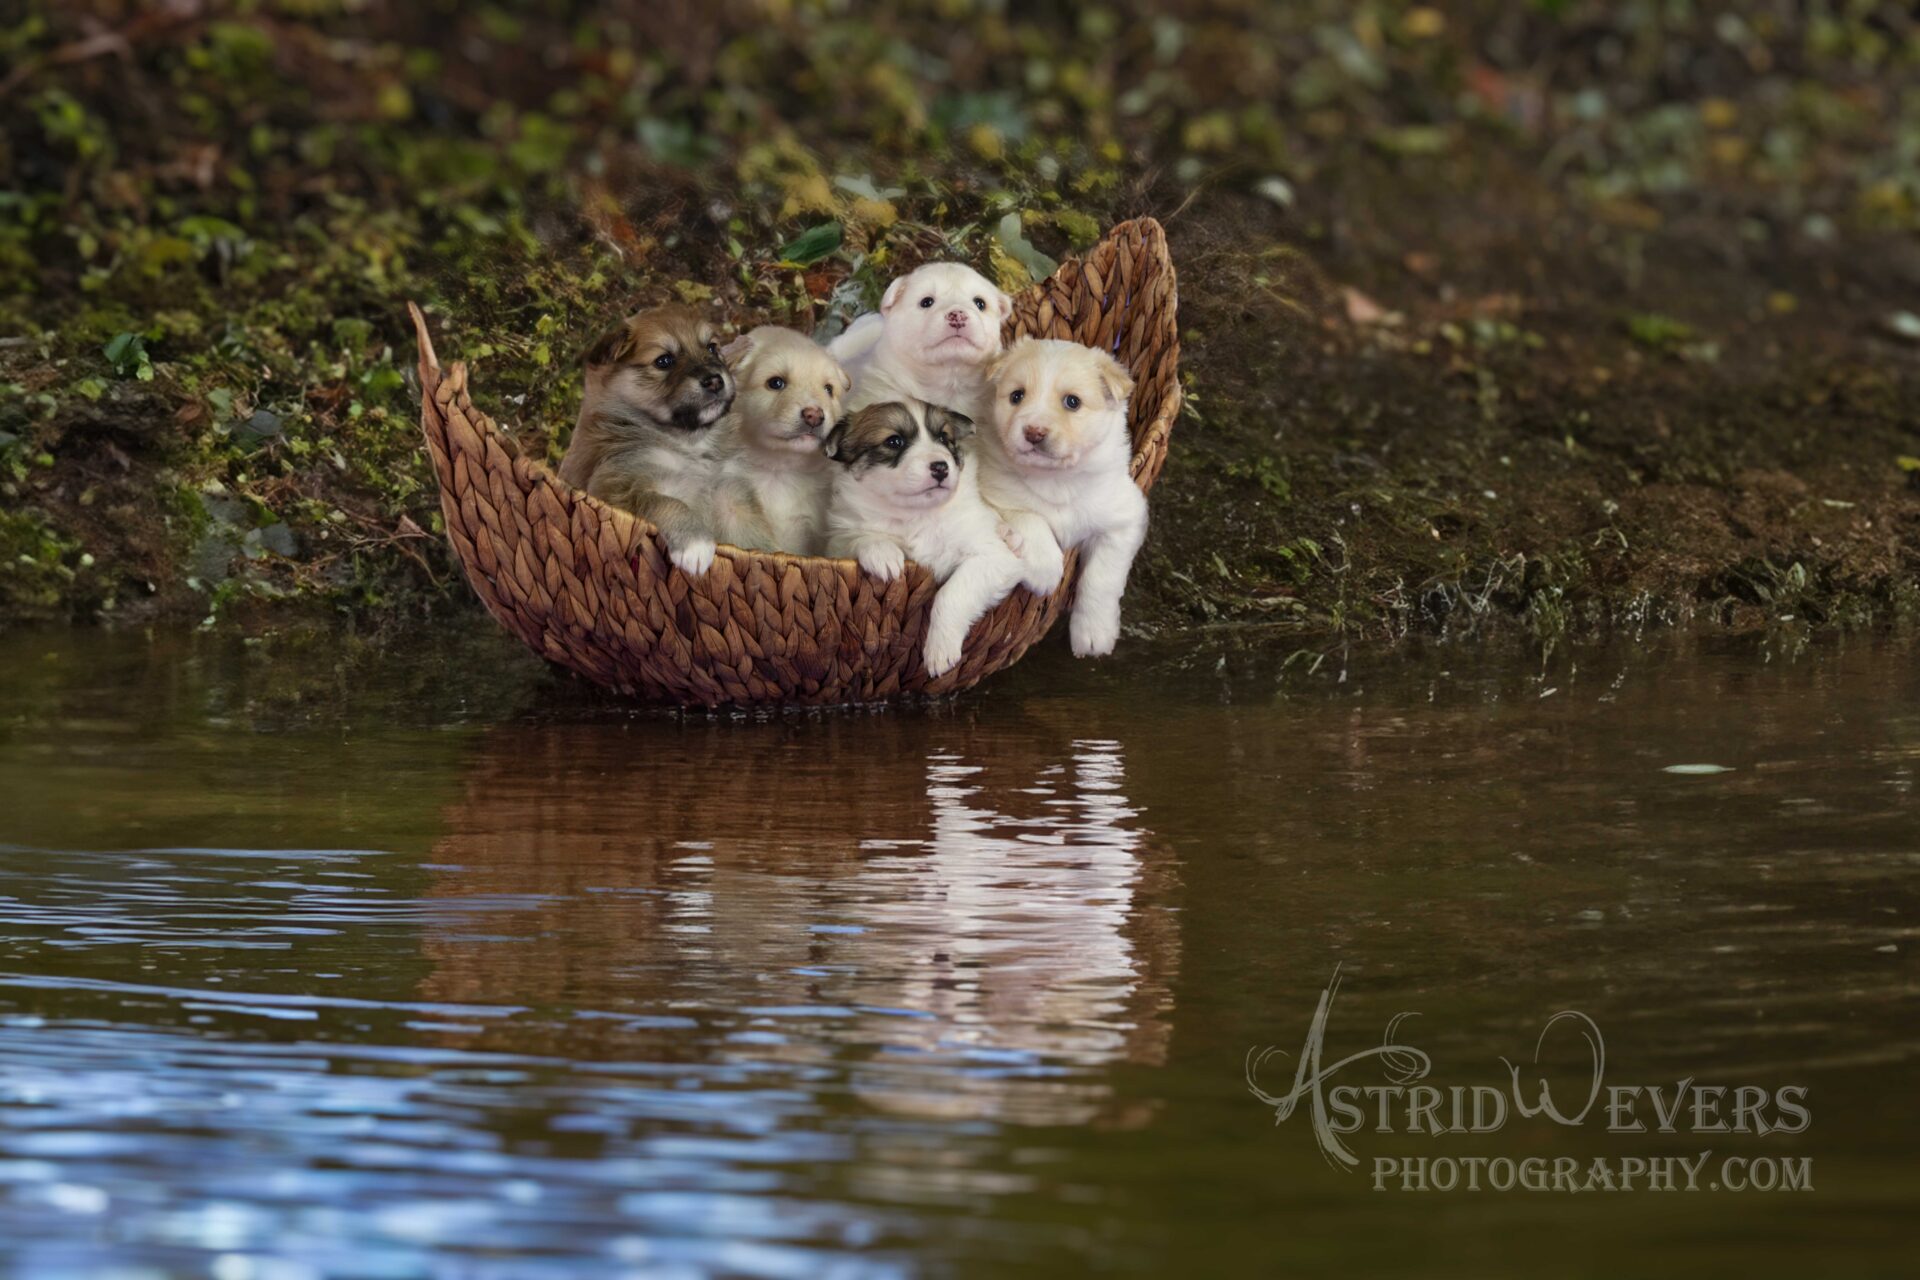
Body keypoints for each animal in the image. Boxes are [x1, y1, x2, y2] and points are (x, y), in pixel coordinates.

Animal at [560, 303, 737, 571]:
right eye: (664, 361)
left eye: (712, 348)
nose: (715, 381)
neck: (684, 441)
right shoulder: (613, 489)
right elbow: (664, 501)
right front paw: (695, 543)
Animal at [829, 401, 1036, 679]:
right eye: (894, 441)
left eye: (943, 438)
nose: (941, 467)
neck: (914, 515)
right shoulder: (837, 539)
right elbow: (857, 537)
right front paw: (882, 553)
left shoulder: (994, 557)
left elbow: (951, 593)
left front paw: (940, 650)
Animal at [983, 337, 1144, 660]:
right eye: (1017, 396)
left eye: (1072, 402)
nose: (1034, 432)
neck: (1056, 479)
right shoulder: (992, 491)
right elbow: (1029, 517)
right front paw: (1045, 570)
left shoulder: (1124, 521)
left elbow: (1101, 578)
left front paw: (1093, 634)